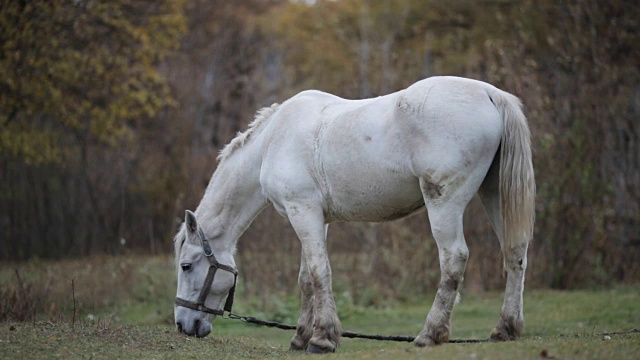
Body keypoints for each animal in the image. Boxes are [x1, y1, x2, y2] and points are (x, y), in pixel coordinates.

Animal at [174, 76, 536, 354]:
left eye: (186, 265)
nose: (182, 324)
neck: (271, 142)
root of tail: (490, 93)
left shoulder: (302, 211)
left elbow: (319, 273)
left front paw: (322, 339)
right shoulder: (314, 218)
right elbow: (306, 279)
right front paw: (301, 337)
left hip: (444, 203)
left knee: (454, 259)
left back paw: (429, 334)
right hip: (494, 195)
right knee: (515, 255)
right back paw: (505, 329)